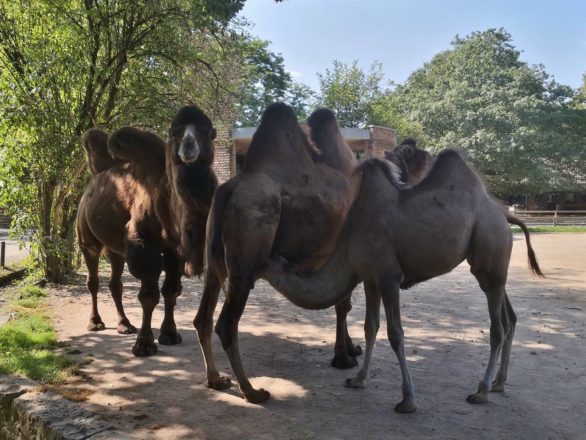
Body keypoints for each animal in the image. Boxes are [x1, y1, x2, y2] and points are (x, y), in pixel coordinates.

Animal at [76, 105, 216, 356]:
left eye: (206, 133)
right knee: (93, 279)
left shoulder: (175, 250)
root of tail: (92, 182)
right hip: (87, 239)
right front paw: (144, 344)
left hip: (116, 249)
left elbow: (171, 291)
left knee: (115, 283)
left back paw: (125, 325)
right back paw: (95, 323)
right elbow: (149, 296)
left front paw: (170, 334)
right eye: (174, 132)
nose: (188, 149)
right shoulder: (142, 242)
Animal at [194, 103, 360, 402]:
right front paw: (343, 357)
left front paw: (350, 350)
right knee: (226, 324)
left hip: (213, 260)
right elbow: (343, 304)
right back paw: (252, 391)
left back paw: (216, 380)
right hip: (246, 256)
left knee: (203, 317)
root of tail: (228, 191)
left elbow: (343, 302)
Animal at [262, 149, 540, 412]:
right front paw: (358, 380)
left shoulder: (389, 278)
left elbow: (395, 333)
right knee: (509, 317)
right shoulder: (370, 279)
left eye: (267, 262)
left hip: (491, 247)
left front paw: (408, 401)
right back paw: (499, 383)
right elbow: (370, 328)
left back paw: (481, 391)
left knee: (498, 327)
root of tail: (505, 216)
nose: (253, 270)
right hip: (490, 269)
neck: (349, 240)